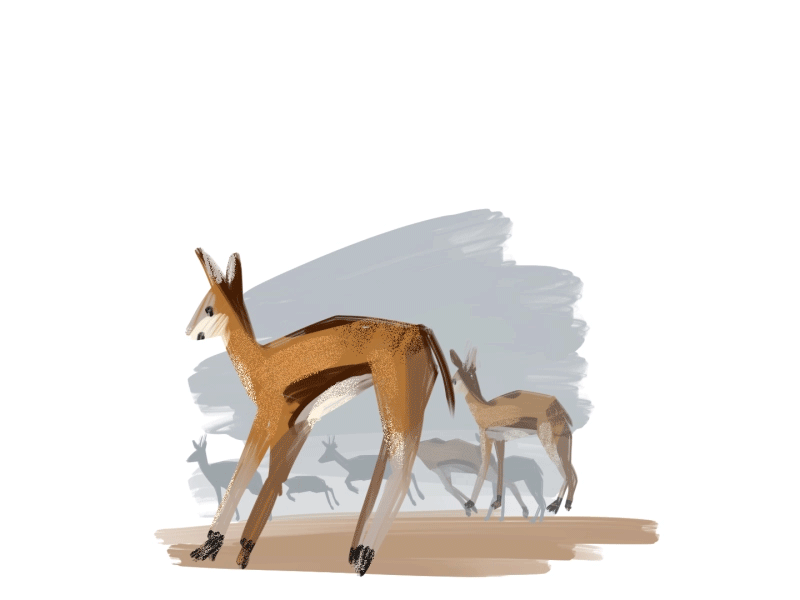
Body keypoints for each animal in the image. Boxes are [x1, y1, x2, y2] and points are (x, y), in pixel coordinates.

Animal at [185, 248, 455, 576]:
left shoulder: (267, 420)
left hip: (397, 407)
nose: (188, 332)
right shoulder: (299, 427)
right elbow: (274, 482)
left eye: (209, 308)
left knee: (402, 474)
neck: (262, 362)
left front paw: (209, 547)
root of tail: (421, 330)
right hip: (403, 411)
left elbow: (243, 474)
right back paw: (354, 552)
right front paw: (243, 552)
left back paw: (364, 559)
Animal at [450, 348, 577, 520]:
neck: (485, 409)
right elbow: (501, 468)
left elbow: (483, 467)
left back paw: (555, 505)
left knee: (565, 473)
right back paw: (566, 504)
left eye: (454, 380)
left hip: (548, 442)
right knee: (573, 473)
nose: (449, 393)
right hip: (562, 441)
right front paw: (497, 502)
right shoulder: (500, 440)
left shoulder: (486, 437)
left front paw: (470, 503)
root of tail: (558, 407)